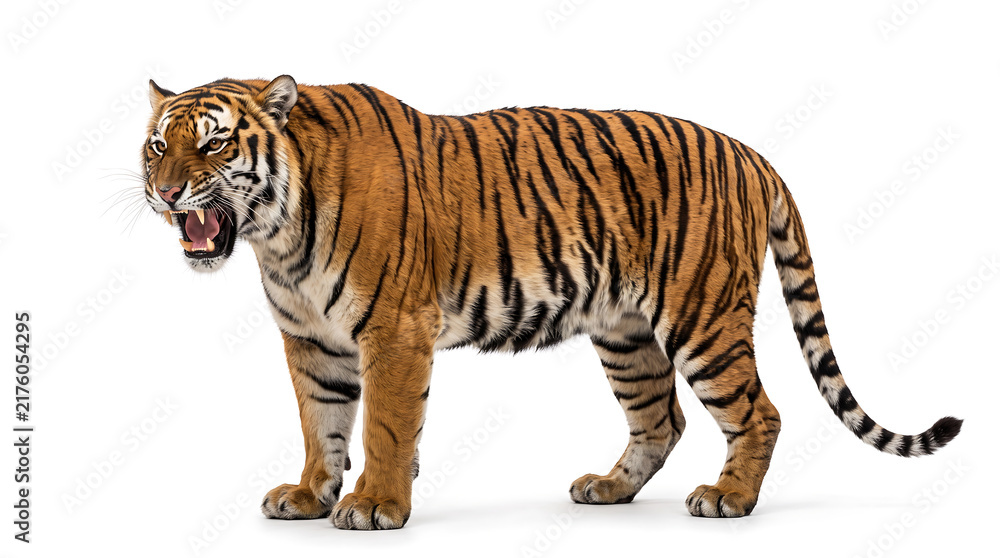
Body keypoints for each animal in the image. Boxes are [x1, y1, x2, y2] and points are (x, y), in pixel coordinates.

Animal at [141, 75, 962, 530]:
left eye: (212, 145)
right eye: (158, 146)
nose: (165, 191)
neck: (277, 234)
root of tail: (748, 151)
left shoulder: (394, 332)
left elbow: (384, 426)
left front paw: (375, 506)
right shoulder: (312, 342)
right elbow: (322, 424)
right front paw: (310, 496)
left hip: (703, 318)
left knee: (759, 412)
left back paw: (728, 498)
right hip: (627, 334)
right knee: (661, 419)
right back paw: (608, 488)